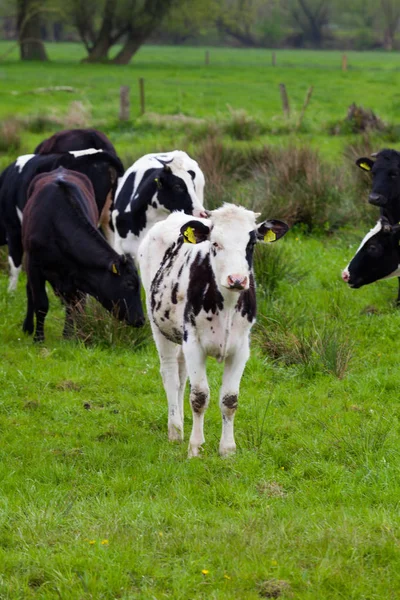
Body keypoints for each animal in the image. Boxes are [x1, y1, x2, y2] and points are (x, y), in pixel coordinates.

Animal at [21, 166, 144, 342]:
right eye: (129, 284)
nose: (141, 319)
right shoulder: (34, 266)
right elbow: (41, 304)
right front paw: (39, 338)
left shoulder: (79, 274)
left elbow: (75, 307)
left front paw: (70, 337)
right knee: (30, 291)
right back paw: (28, 327)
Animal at [139, 204, 290, 458]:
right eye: (215, 243)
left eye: (251, 243)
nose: (237, 279)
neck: (226, 306)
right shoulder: (194, 344)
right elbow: (199, 396)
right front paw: (195, 447)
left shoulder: (241, 350)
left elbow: (229, 400)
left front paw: (227, 449)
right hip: (158, 326)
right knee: (170, 374)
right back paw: (175, 430)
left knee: (181, 376)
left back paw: (181, 422)